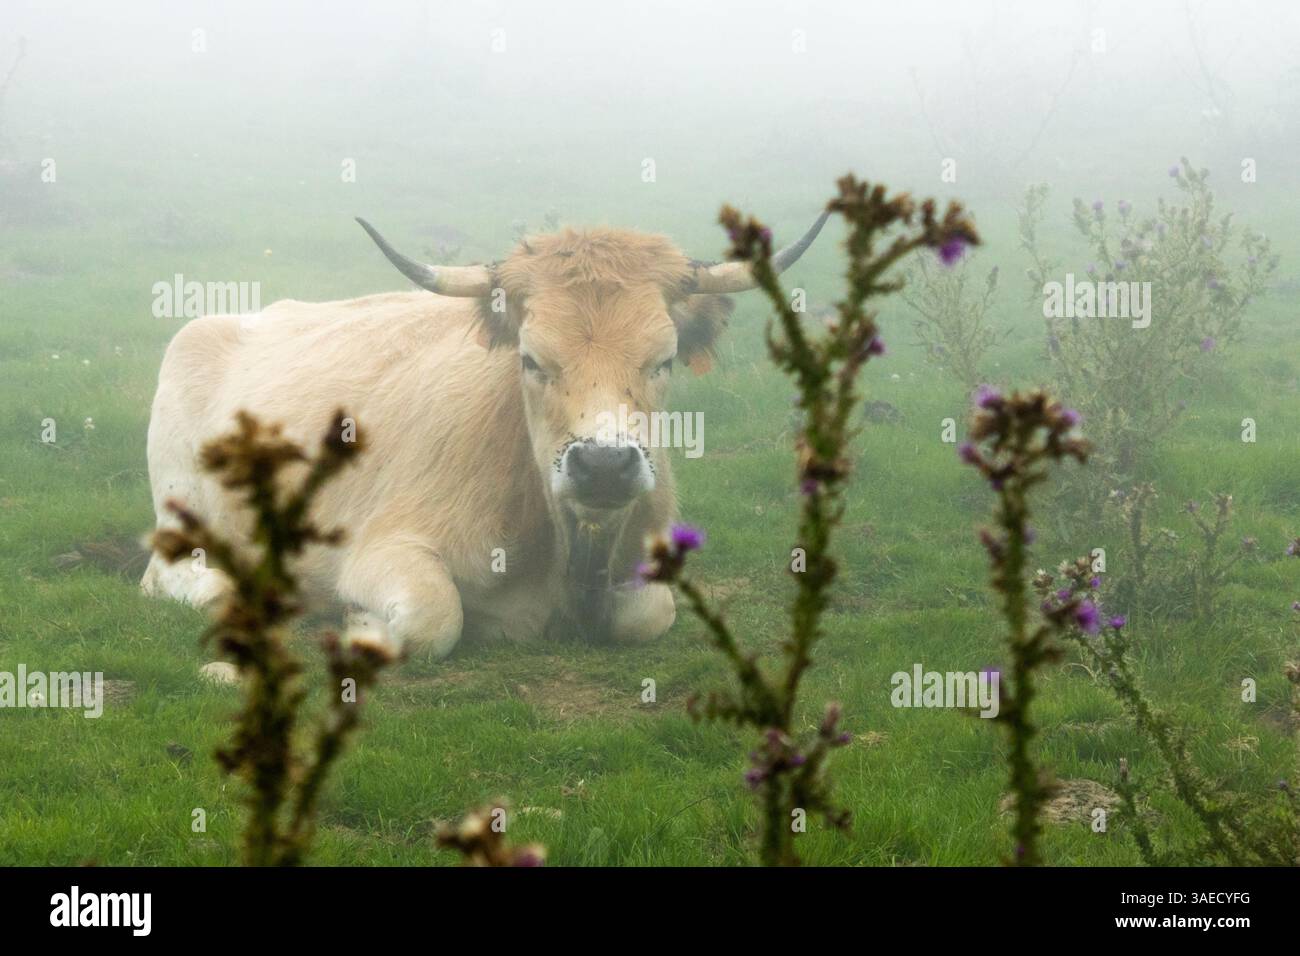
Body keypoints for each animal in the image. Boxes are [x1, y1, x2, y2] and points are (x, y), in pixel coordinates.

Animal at [140, 211, 828, 657]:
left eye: (663, 360)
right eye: (530, 359)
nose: (604, 466)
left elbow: (649, 612)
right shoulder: (383, 547)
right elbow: (432, 618)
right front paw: (360, 624)